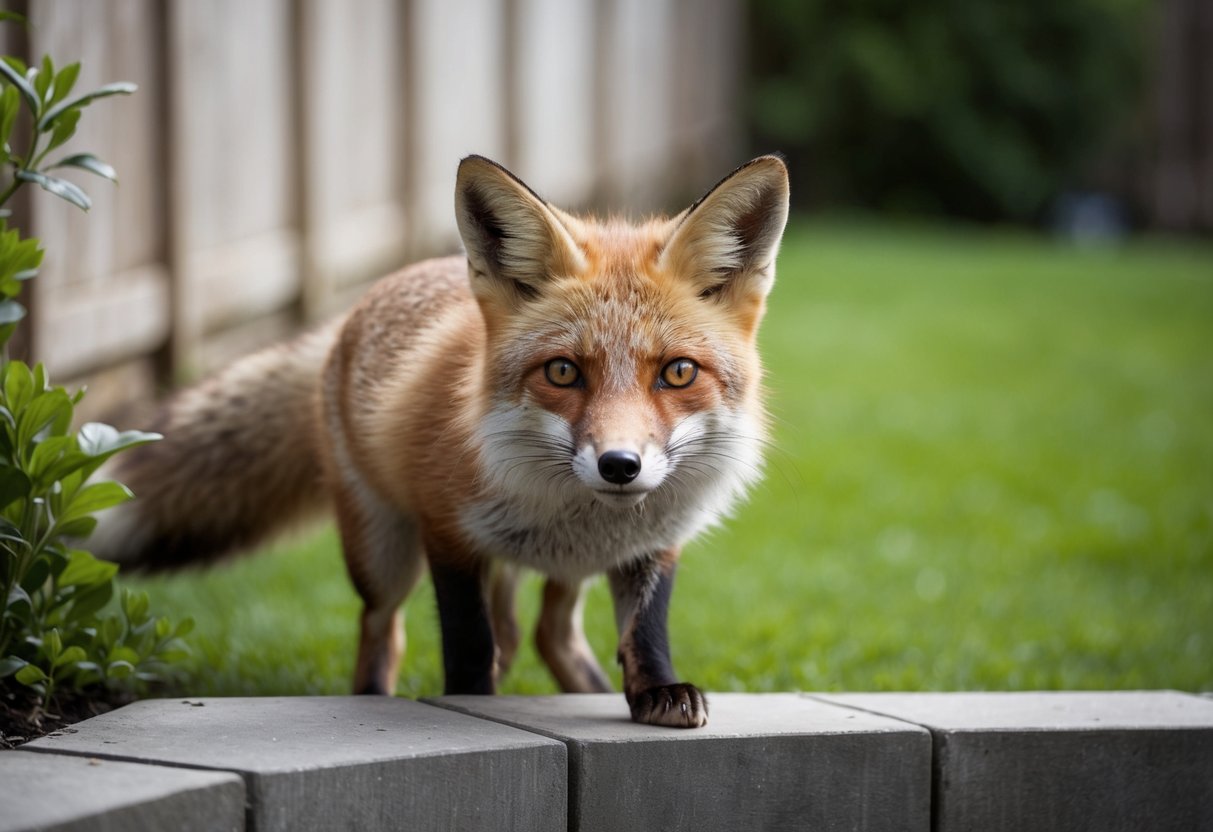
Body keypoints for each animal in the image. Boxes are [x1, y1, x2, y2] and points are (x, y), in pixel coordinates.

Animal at [91, 154, 790, 728]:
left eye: (679, 373)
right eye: (563, 372)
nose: (621, 465)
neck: (572, 513)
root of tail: (345, 321)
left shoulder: (652, 545)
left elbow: (644, 630)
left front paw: (657, 693)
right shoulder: (447, 531)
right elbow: (469, 640)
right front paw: (473, 703)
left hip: (558, 570)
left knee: (546, 632)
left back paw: (588, 688)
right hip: (382, 551)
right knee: (386, 626)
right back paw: (374, 698)